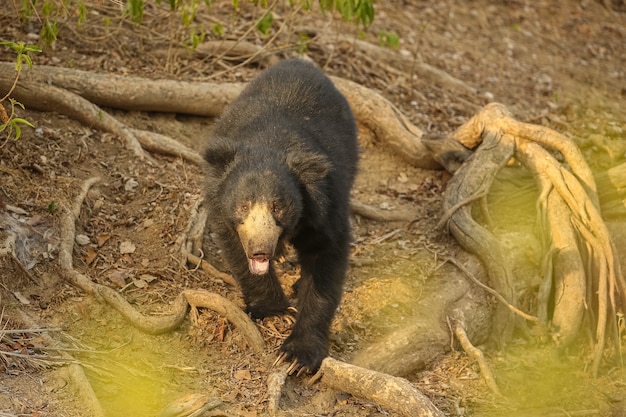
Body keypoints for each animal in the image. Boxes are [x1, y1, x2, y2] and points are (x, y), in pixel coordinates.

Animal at [204, 57, 356, 370]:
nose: (261, 251)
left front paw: (297, 355)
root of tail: (301, 61)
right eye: (243, 205)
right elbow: (235, 249)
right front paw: (275, 311)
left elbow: (325, 264)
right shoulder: (222, 208)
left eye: (279, 206)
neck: (270, 142)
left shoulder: (325, 205)